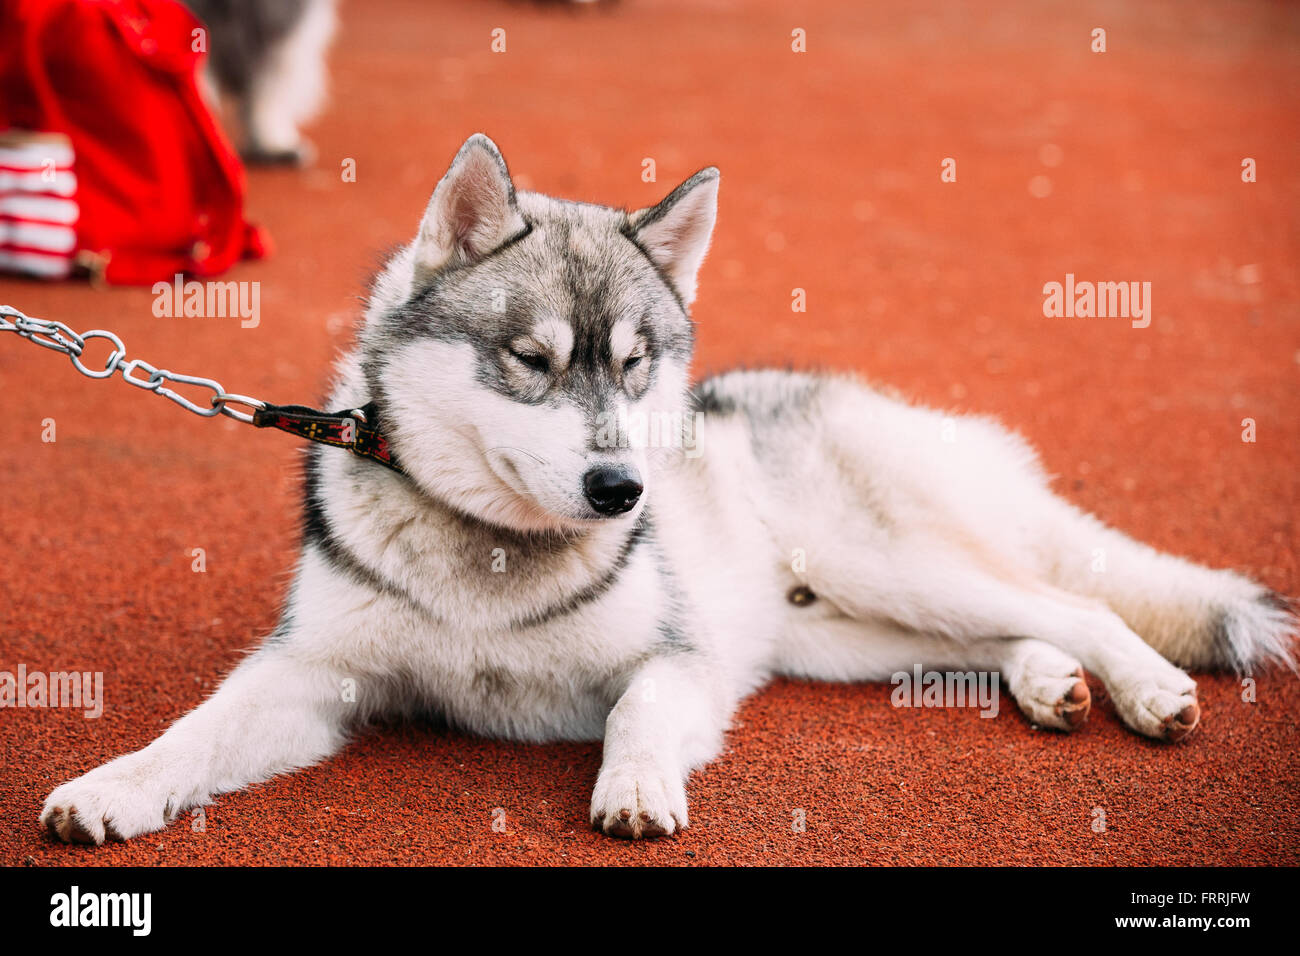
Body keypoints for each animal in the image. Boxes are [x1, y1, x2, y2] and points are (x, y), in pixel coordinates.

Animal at [43, 132, 1300, 837]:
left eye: (636, 363)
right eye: (533, 359)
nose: (621, 490)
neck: (487, 564)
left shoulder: (678, 659)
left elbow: (639, 709)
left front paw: (637, 786)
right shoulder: (310, 676)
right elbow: (189, 734)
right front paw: (114, 787)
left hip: (886, 563)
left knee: (1074, 597)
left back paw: (1140, 685)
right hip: (845, 631)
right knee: (1008, 630)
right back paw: (1047, 682)